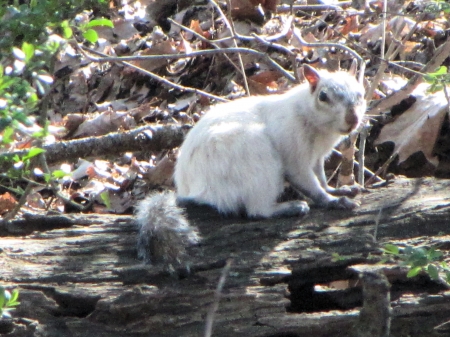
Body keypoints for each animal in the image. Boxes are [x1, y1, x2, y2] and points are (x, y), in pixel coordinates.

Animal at [136, 63, 366, 266]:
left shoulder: (317, 156)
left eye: (361, 93)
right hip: (257, 159)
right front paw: (332, 200)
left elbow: (320, 176)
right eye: (323, 96)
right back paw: (288, 207)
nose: (352, 119)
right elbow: (308, 182)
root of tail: (194, 193)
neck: (312, 120)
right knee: (257, 210)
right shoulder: (294, 154)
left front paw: (338, 189)